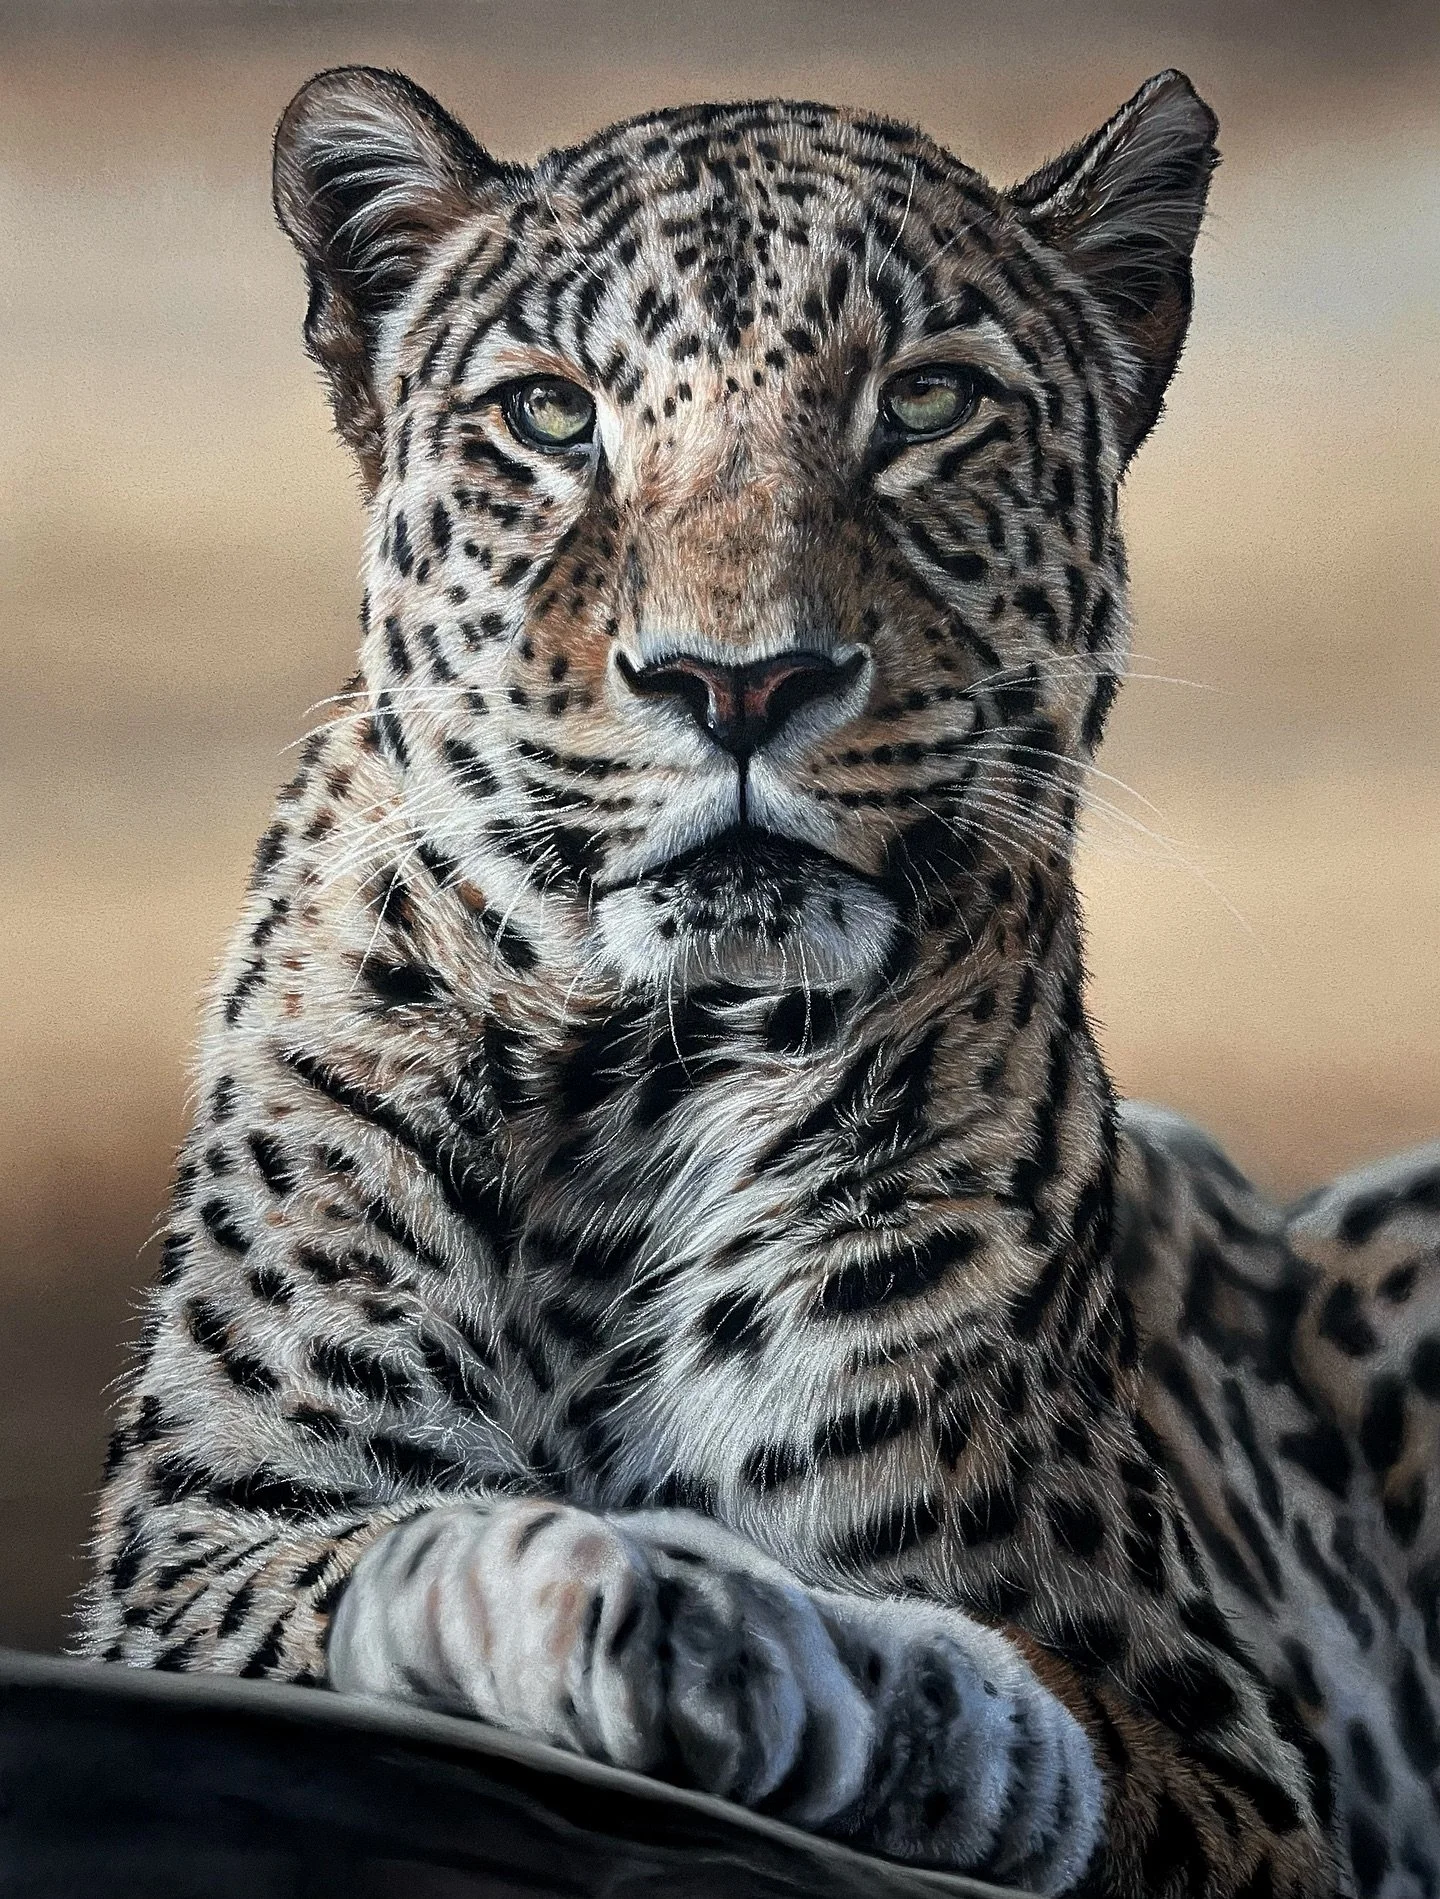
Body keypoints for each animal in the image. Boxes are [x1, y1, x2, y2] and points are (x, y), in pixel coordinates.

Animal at [77, 63, 1440, 1899]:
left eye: (926, 401)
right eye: (554, 416)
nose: (739, 681)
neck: (625, 1082)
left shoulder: (1240, 1766)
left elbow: (1043, 1703)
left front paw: (826, 1666)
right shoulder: (199, 1542)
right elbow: (348, 1567)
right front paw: (573, 1591)